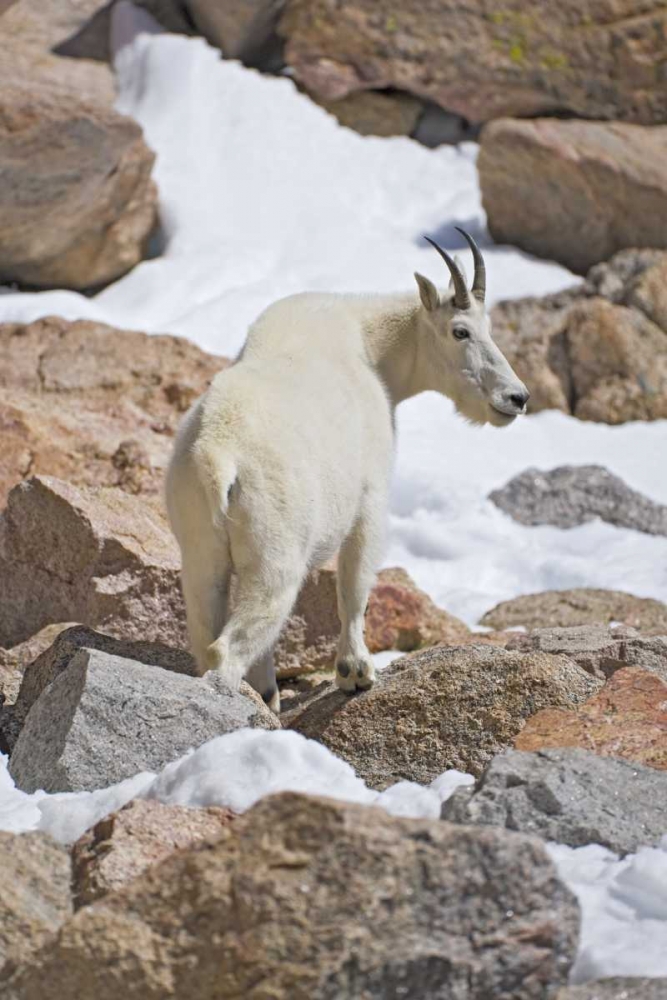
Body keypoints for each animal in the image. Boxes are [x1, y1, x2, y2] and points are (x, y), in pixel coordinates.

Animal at [166, 230, 529, 712]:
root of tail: (216, 452)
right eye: (460, 331)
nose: (516, 398)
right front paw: (356, 673)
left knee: (205, 630)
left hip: (199, 547)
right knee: (233, 642)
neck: (371, 347)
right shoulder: (370, 502)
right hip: (274, 551)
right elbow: (354, 590)